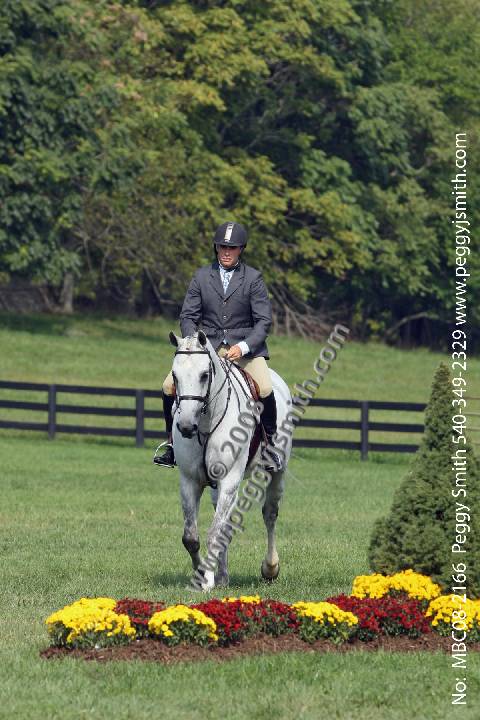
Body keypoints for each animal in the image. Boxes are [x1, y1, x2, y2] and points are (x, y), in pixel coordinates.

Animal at [167, 330, 292, 591]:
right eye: (175, 376)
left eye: (204, 375)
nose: (186, 427)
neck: (205, 423)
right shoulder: (189, 481)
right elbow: (191, 537)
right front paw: (202, 576)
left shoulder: (230, 480)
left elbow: (214, 533)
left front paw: (206, 580)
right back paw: (223, 576)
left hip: (277, 473)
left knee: (270, 514)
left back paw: (270, 568)